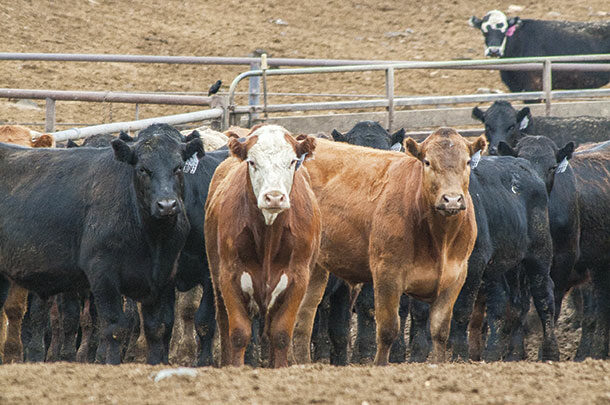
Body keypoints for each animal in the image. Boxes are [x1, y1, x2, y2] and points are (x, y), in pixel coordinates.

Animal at [204, 123, 320, 366]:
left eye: (292, 161)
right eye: (252, 162)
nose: (274, 197)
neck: (268, 237)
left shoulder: (298, 279)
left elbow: (281, 334)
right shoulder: (229, 276)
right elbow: (239, 333)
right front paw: (236, 367)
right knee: (223, 323)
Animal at [292, 128, 486, 364]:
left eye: (467, 162)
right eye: (428, 162)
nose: (452, 200)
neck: (439, 238)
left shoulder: (456, 276)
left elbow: (440, 331)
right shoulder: (387, 273)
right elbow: (387, 330)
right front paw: (380, 364)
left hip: (317, 268)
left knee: (303, 319)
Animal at [406, 154, 560, 360]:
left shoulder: (474, 264)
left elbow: (462, 309)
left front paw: (460, 355)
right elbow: (419, 310)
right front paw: (418, 355)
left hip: (539, 253)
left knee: (544, 297)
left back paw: (550, 353)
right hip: (505, 264)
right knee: (508, 302)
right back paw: (498, 353)